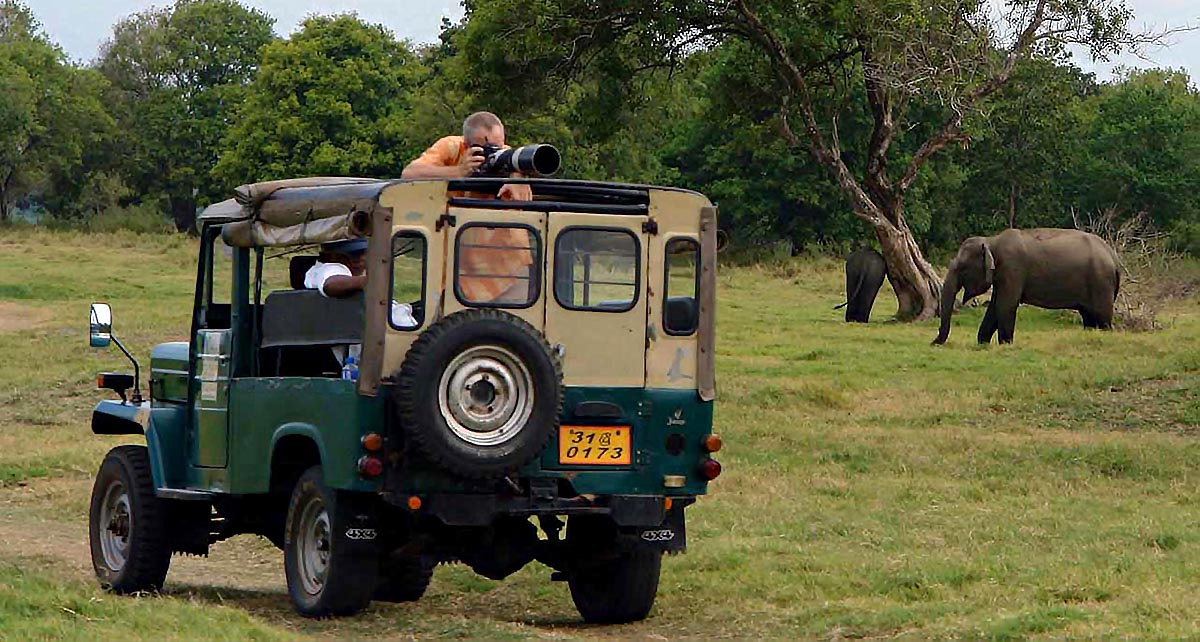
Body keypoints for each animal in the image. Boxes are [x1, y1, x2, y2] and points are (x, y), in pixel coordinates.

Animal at [932, 228, 1120, 345]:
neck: (992, 240)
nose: (933, 343)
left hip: (1101, 283)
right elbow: (994, 306)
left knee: (1102, 317)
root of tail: (1114, 257)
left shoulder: (1012, 269)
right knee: (1088, 317)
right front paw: (983, 343)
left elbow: (1005, 305)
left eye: (962, 268)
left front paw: (1005, 344)